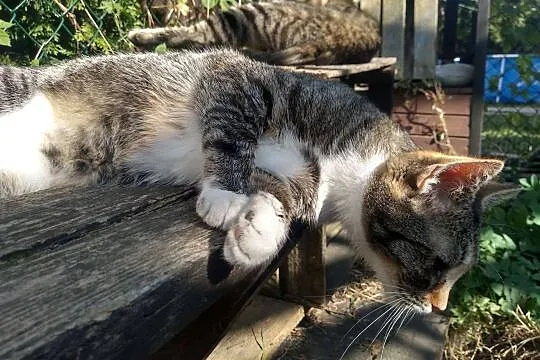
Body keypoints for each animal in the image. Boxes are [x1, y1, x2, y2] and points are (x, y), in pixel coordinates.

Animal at [0, 49, 516, 314]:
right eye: (438, 265)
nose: (439, 308)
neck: (346, 162)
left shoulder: (303, 178)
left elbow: (286, 196)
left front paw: (258, 232)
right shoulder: (239, 78)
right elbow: (234, 129)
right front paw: (225, 192)